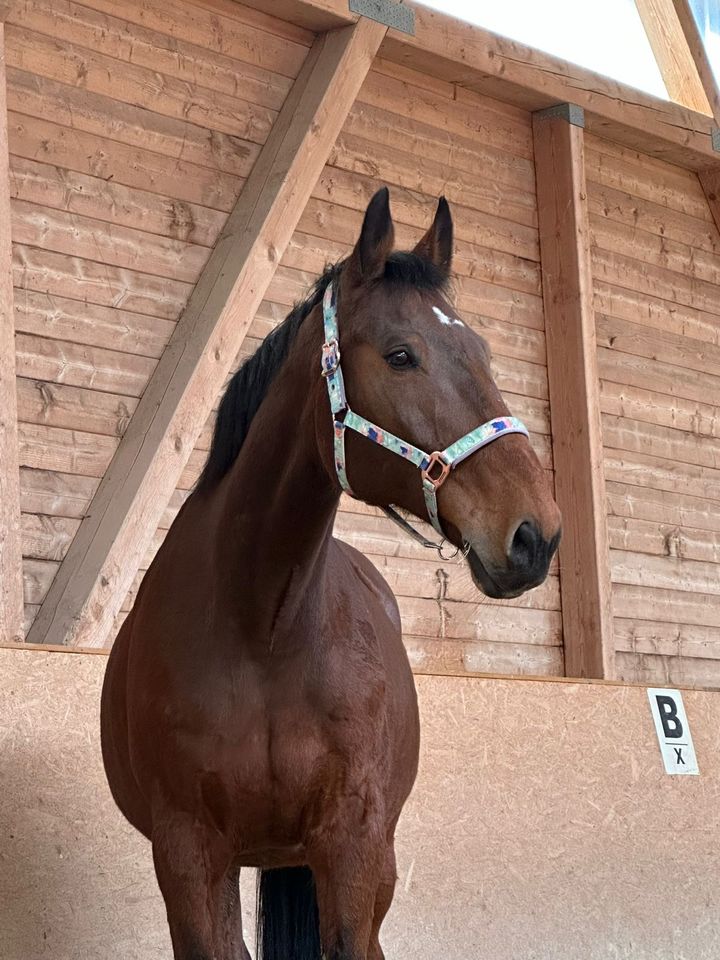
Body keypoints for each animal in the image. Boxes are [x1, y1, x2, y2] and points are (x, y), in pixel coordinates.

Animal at [101, 189, 564, 960]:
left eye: (482, 352)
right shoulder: (188, 859)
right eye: (401, 355)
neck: (264, 629)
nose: (537, 535)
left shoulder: (352, 846)